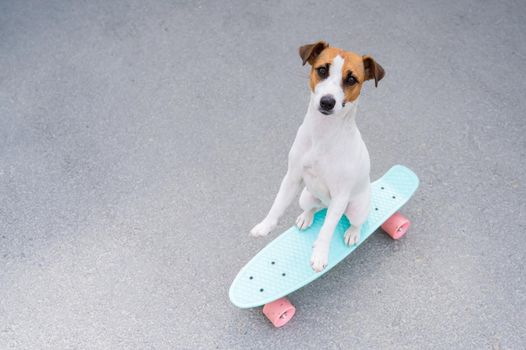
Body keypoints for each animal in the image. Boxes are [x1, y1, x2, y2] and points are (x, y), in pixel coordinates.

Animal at [250, 41, 386, 274]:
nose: (327, 102)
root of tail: (325, 203)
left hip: (356, 208)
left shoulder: (340, 195)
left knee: (354, 221)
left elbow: (327, 230)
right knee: (312, 208)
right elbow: (277, 205)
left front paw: (319, 255)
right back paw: (306, 217)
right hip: (306, 196)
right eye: (322, 70)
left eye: (351, 79)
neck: (322, 135)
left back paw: (352, 232)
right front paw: (265, 226)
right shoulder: (292, 177)